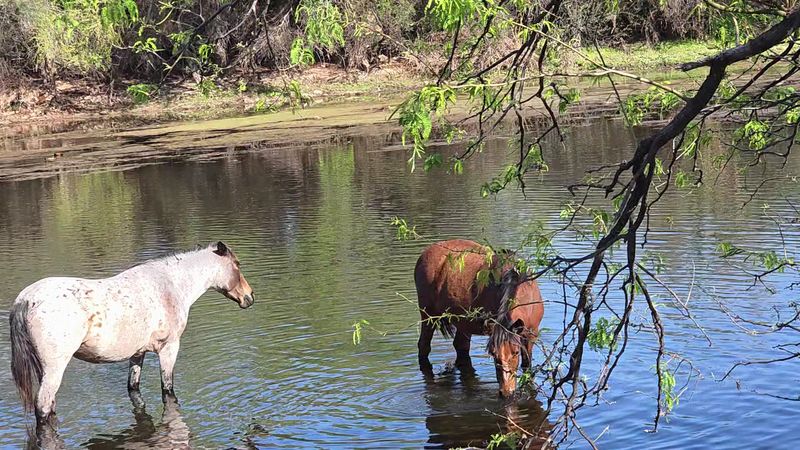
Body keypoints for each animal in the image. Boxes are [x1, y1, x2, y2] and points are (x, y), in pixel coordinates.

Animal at [9, 241, 254, 429]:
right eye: (237, 265)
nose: (249, 297)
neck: (171, 286)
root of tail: (25, 300)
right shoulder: (169, 348)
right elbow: (167, 389)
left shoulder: (138, 353)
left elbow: (133, 387)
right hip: (54, 369)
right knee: (43, 406)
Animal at [415, 239, 544, 397]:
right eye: (494, 355)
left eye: (515, 352)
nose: (506, 392)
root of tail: (427, 252)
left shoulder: (531, 334)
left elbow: (527, 365)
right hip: (428, 316)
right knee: (424, 346)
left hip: (464, 324)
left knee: (461, 346)